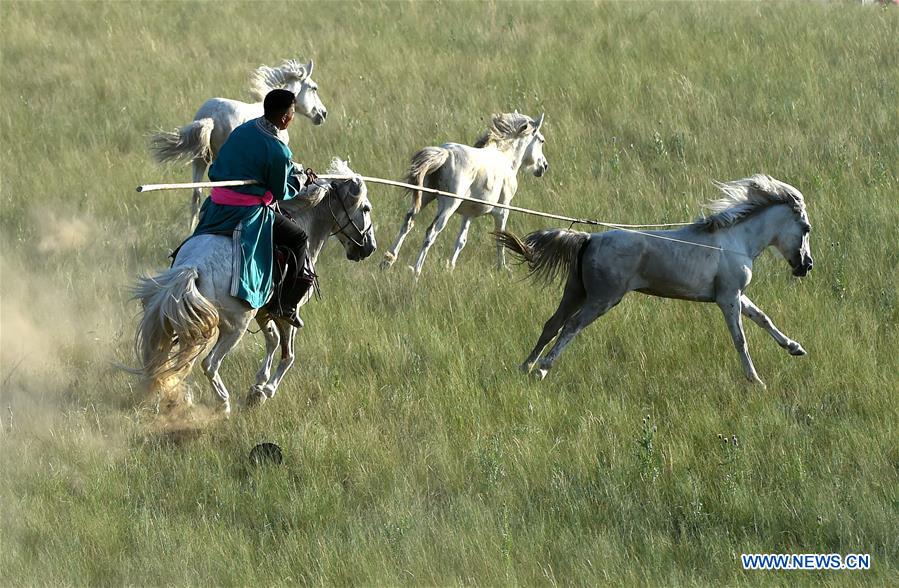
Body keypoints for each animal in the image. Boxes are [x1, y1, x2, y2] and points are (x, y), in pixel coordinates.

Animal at [130, 160, 376, 414]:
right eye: (366, 209)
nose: (369, 247)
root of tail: (193, 267)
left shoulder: (264, 310)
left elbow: (273, 340)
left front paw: (258, 386)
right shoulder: (289, 311)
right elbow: (288, 353)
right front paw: (266, 390)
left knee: (170, 361)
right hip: (235, 326)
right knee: (209, 363)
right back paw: (223, 403)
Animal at [380, 112, 548, 278]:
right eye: (541, 140)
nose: (544, 166)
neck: (505, 159)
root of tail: (446, 154)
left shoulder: (469, 214)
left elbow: (461, 241)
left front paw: (450, 267)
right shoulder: (502, 210)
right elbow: (500, 239)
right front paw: (503, 268)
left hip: (425, 197)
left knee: (407, 222)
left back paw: (387, 262)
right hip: (448, 205)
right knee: (431, 232)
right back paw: (416, 272)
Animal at [500, 173, 816, 386]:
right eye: (806, 228)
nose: (807, 266)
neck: (735, 241)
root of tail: (590, 238)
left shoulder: (736, 295)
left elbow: (764, 319)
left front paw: (795, 348)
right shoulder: (728, 299)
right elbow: (740, 339)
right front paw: (756, 381)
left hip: (575, 292)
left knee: (551, 325)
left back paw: (525, 367)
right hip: (602, 299)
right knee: (570, 327)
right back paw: (542, 370)